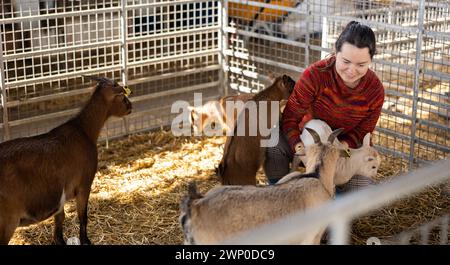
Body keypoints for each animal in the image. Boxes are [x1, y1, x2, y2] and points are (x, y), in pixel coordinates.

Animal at [0, 75, 132, 243]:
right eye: (122, 95)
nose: (130, 106)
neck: (83, 130)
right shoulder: (84, 184)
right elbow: (83, 216)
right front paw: (85, 240)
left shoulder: (60, 195)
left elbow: (60, 218)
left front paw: (60, 240)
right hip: (7, 220)